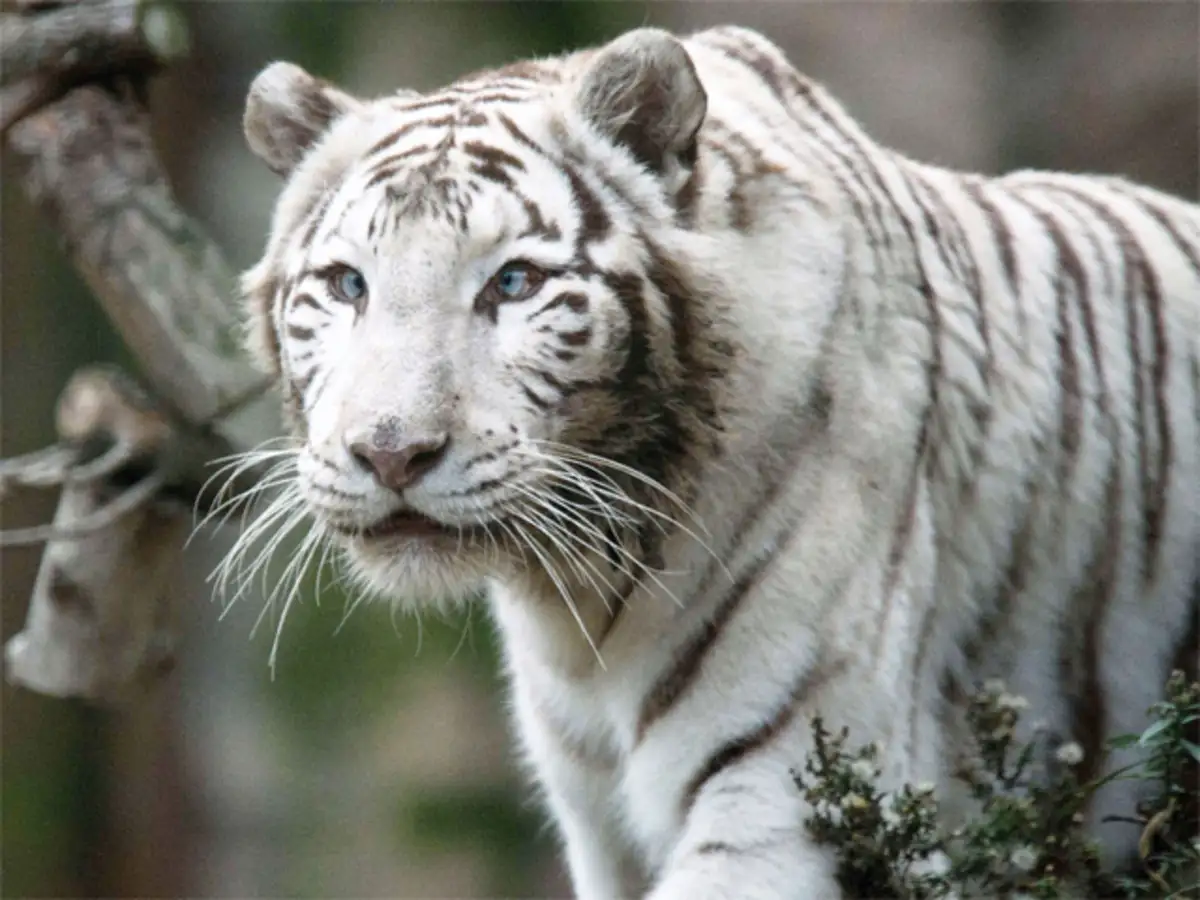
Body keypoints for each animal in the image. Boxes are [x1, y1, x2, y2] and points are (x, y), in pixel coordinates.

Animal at [236, 23, 1200, 900]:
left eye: (514, 284)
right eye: (349, 285)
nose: (391, 452)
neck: (580, 602)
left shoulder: (789, 792)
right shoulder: (602, 832)